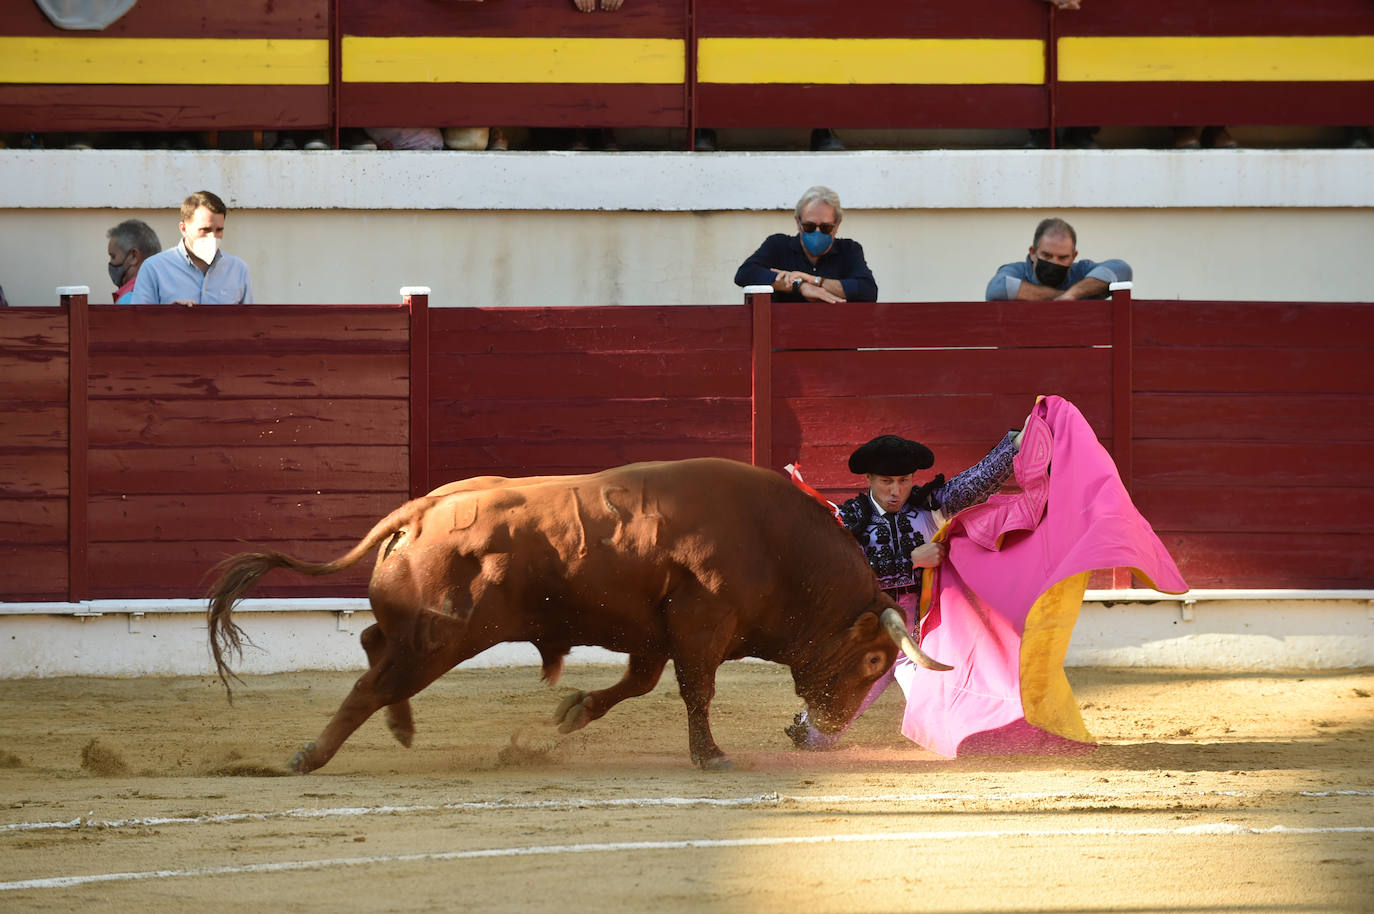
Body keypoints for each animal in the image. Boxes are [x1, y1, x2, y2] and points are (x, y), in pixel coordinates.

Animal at [208, 456, 950, 769]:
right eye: (876, 658)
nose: (821, 723)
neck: (779, 545)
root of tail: (424, 509)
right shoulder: (700, 626)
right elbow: (696, 691)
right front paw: (710, 756)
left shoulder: (658, 629)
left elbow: (641, 682)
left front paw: (570, 714)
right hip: (440, 638)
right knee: (370, 680)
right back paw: (311, 756)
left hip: (419, 628)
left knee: (371, 644)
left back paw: (400, 726)